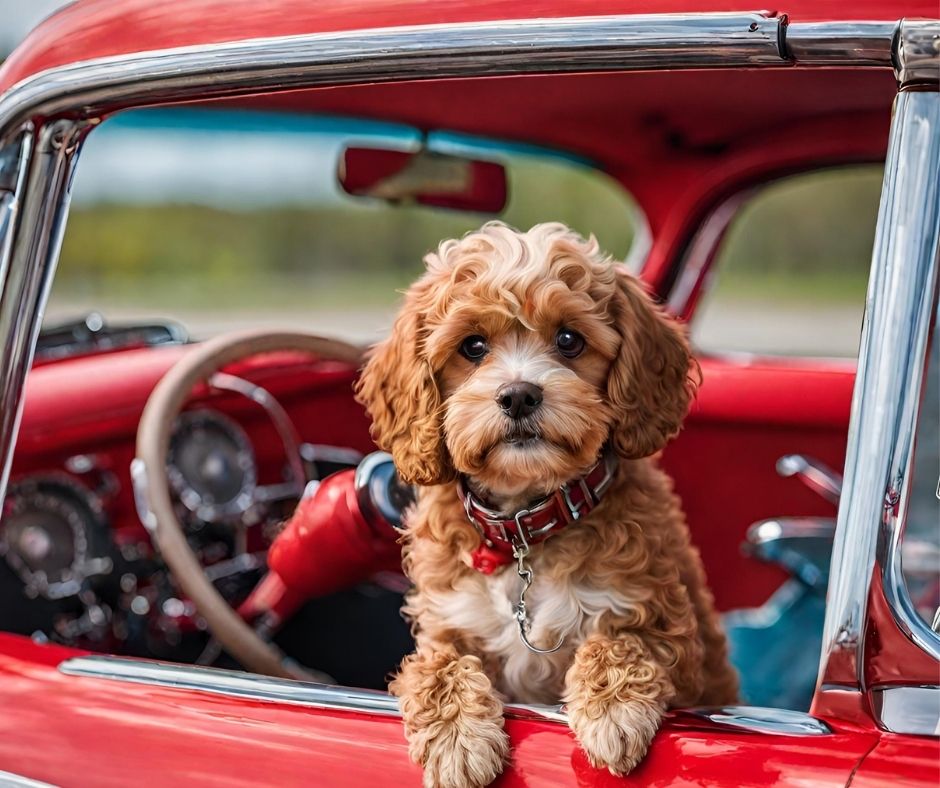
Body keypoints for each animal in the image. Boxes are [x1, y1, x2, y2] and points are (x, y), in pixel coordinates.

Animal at [356, 222, 740, 788]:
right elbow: (435, 665)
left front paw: (613, 713)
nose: (518, 394)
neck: (525, 521)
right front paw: (457, 739)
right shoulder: (448, 621)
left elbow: (624, 639)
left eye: (569, 339)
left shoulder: (667, 628)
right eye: (472, 346)